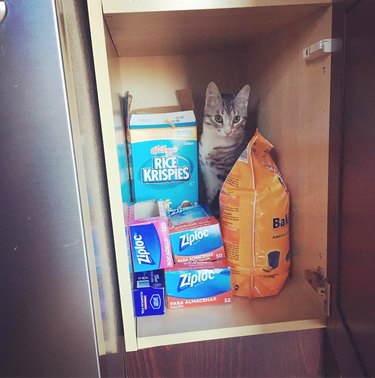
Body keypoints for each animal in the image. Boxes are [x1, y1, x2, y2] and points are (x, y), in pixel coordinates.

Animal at [198, 81, 251, 217]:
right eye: (218, 118)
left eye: (236, 119)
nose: (228, 131)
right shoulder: (206, 174)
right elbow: (210, 194)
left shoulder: (224, 174)